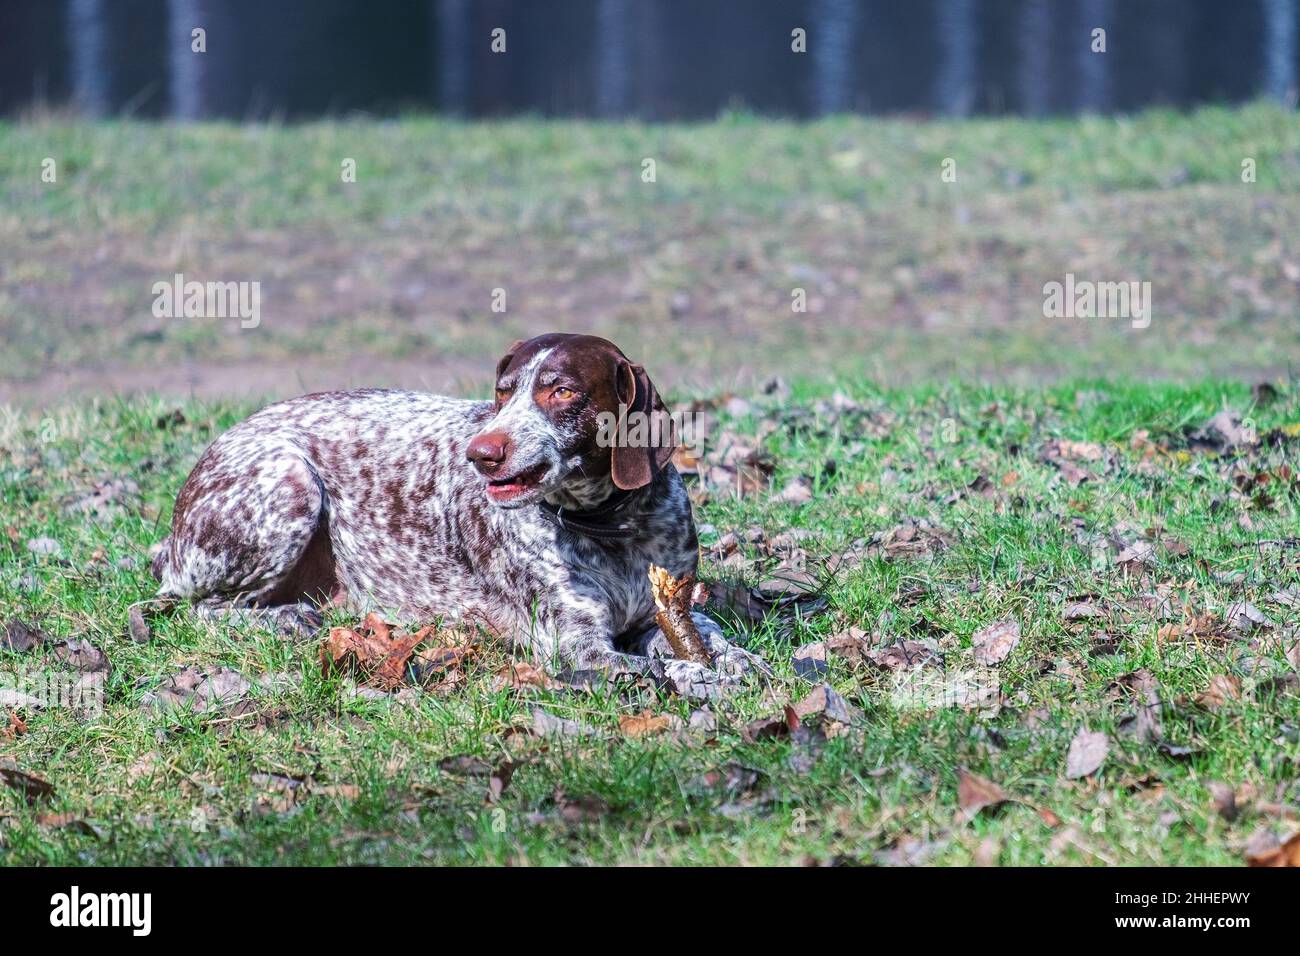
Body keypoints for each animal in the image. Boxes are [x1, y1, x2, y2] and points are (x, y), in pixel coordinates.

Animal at [152, 332, 764, 691]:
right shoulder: (579, 645)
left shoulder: (667, 608)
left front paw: (740, 661)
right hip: (289, 479)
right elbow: (660, 664)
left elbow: (712, 637)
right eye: (504, 391)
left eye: (563, 391)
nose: (481, 453)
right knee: (198, 608)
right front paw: (696, 672)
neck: (612, 526)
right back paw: (283, 617)